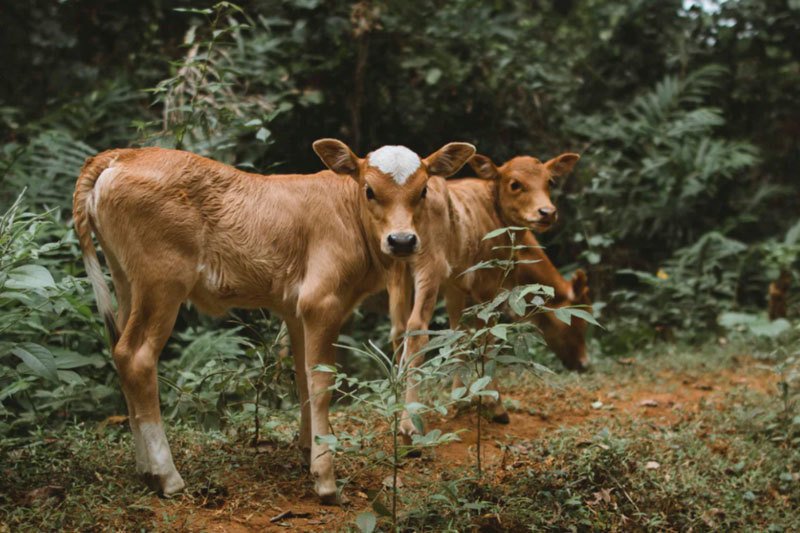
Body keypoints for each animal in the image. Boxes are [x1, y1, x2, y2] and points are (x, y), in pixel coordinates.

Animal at [72, 140, 475, 504]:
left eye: (423, 190)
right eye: (370, 190)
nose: (402, 240)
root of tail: (123, 154)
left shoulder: (296, 312)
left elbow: (303, 376)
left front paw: (308, 449)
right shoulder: (321, 302)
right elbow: (322, 382)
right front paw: (325, 478)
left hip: (127, 283)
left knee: (120, 353)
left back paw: (145, 470)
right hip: (162, 284)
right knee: (137, 358)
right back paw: (167, 476)